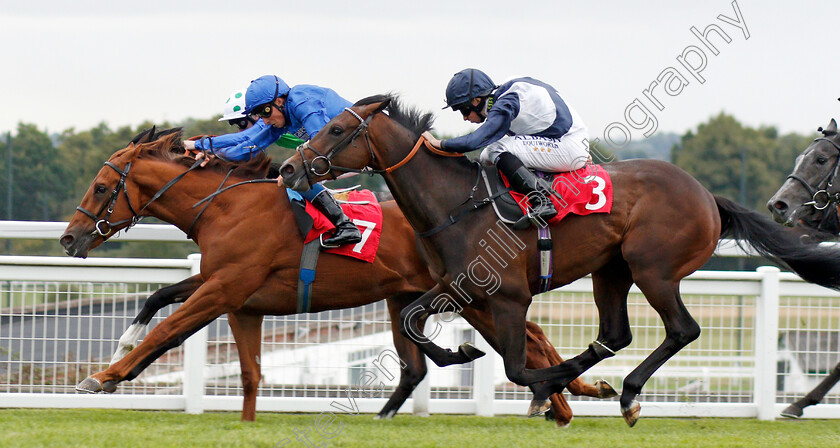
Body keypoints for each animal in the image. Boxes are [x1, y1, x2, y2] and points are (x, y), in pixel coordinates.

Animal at [57, 127, 612, 428]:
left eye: (101, 186)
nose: (68, 238)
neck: (224, 207)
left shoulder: (226, 286)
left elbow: (171, 331)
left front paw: (105, 377)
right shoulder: (230, 289)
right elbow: (166, 300)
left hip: (469, 295)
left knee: (527, 340)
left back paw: (565, 398)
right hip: (426, 296)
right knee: (485, 349)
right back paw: (569, 399)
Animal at [278, 95, 840, 428]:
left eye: (335, 129)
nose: (288, 168)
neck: (458, 204)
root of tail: (707, 196)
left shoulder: (509, 297)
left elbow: (513, 365)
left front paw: (544, 388)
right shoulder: (458, 287)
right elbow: (417, 324)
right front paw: (462, 355)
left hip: (653, 269)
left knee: (682, 330)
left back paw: (625, 393)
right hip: (610, 271)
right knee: (615, 334)